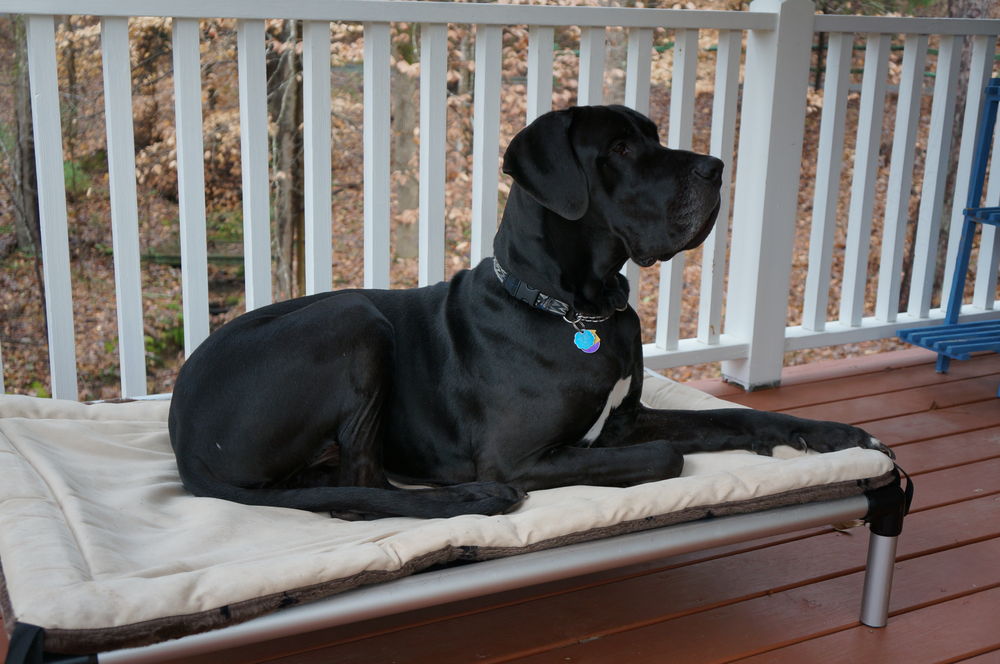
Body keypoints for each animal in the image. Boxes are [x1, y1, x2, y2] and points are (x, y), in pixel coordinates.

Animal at [170, 105, 892, 520]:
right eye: (621, 149)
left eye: (654, 137)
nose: (716, 167)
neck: (581, 309)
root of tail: (182, 434)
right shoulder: (521, 457)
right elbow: (667, 456)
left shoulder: (626, 419)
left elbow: (731, 418)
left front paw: (829, 434)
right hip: (353, 319)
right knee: (361, 490)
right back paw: (470, 499)